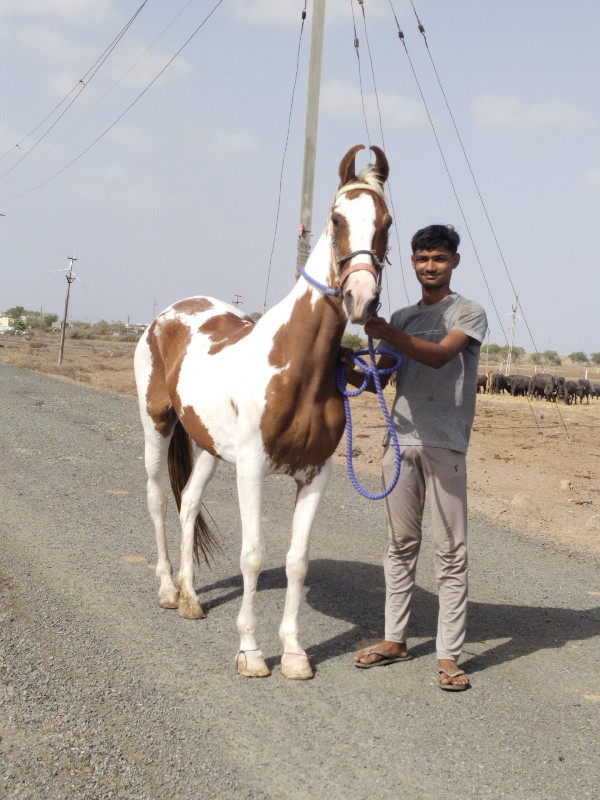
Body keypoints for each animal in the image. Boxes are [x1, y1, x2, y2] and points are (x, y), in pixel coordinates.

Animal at [134, 145, 392, 680]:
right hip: (157, 425)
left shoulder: (314, 474)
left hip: (209, 447)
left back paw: (191, 598)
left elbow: (297, 560)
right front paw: (250, 652)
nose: (361, 299)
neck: (296, 367)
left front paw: (293, 653)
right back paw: (168, 589)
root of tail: (167, 315)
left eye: (387, 222)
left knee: (188, 503)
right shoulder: (251, 470)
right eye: (337, 218)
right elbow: (252, 555)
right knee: (158, 499)